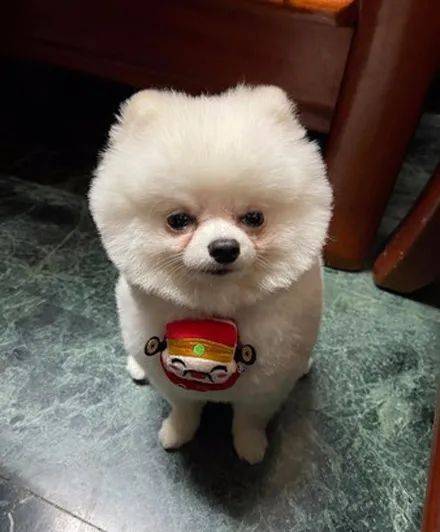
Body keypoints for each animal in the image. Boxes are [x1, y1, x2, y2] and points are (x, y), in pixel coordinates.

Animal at [89, 85, 332, 464]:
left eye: (254, 218)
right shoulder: (173, 380)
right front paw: (177, 432)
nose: (224, 247)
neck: (215, 309)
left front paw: (250, 447)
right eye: (178, 220)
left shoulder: (266, 386)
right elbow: (184, 408)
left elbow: (249, 419)